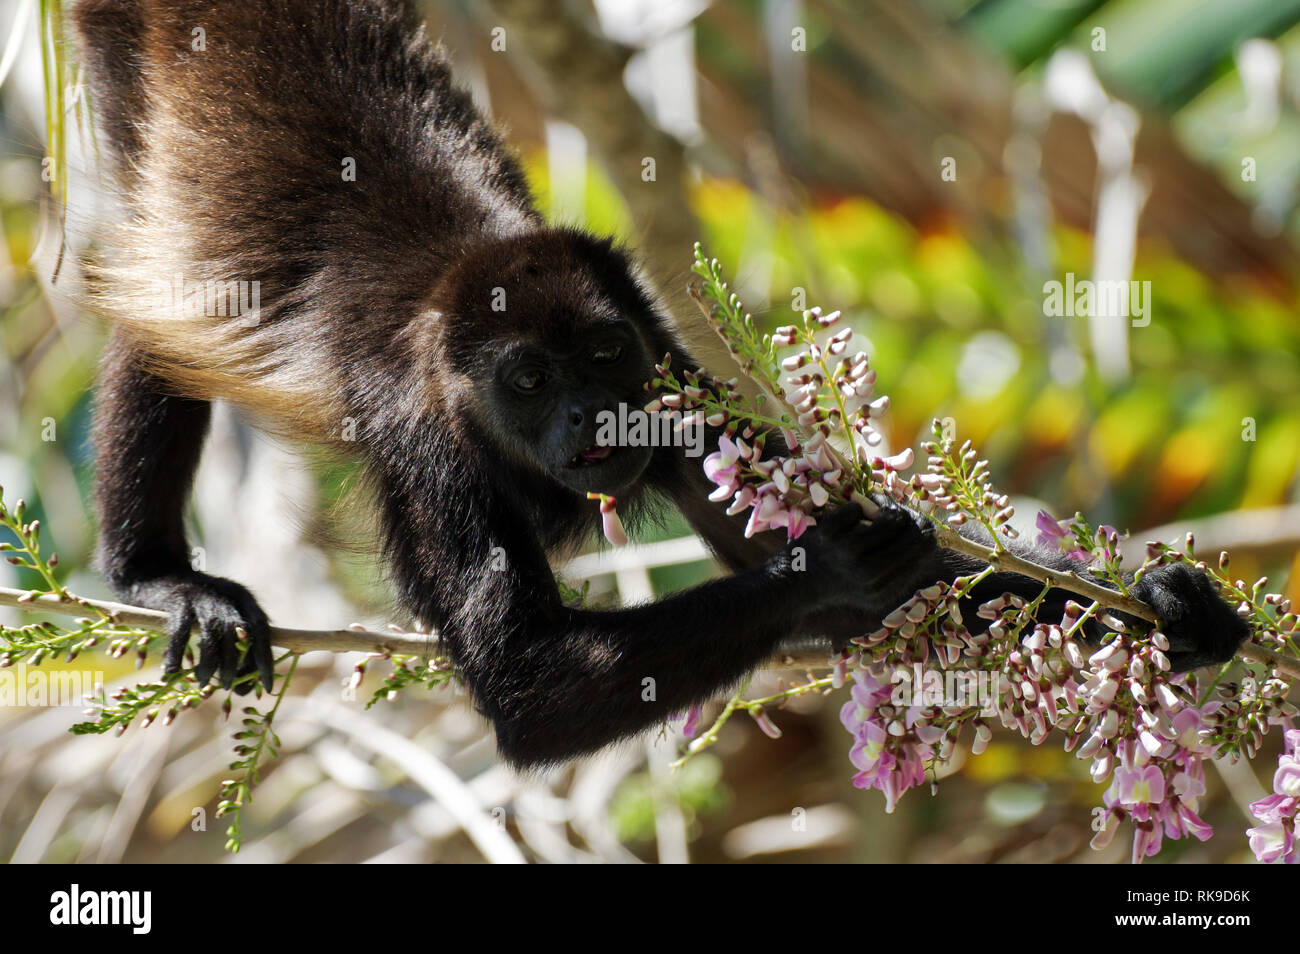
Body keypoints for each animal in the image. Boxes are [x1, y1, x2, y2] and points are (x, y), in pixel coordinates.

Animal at [73, 0, 1248, 764]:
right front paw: (827, 568)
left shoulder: (673, 371)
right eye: (527, 377)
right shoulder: (419, 433)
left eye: (603, 358)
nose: (589, 414)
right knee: (161, 308)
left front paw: (1168, 604)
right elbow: (526, 687)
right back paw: (155, 576)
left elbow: (781, 546)